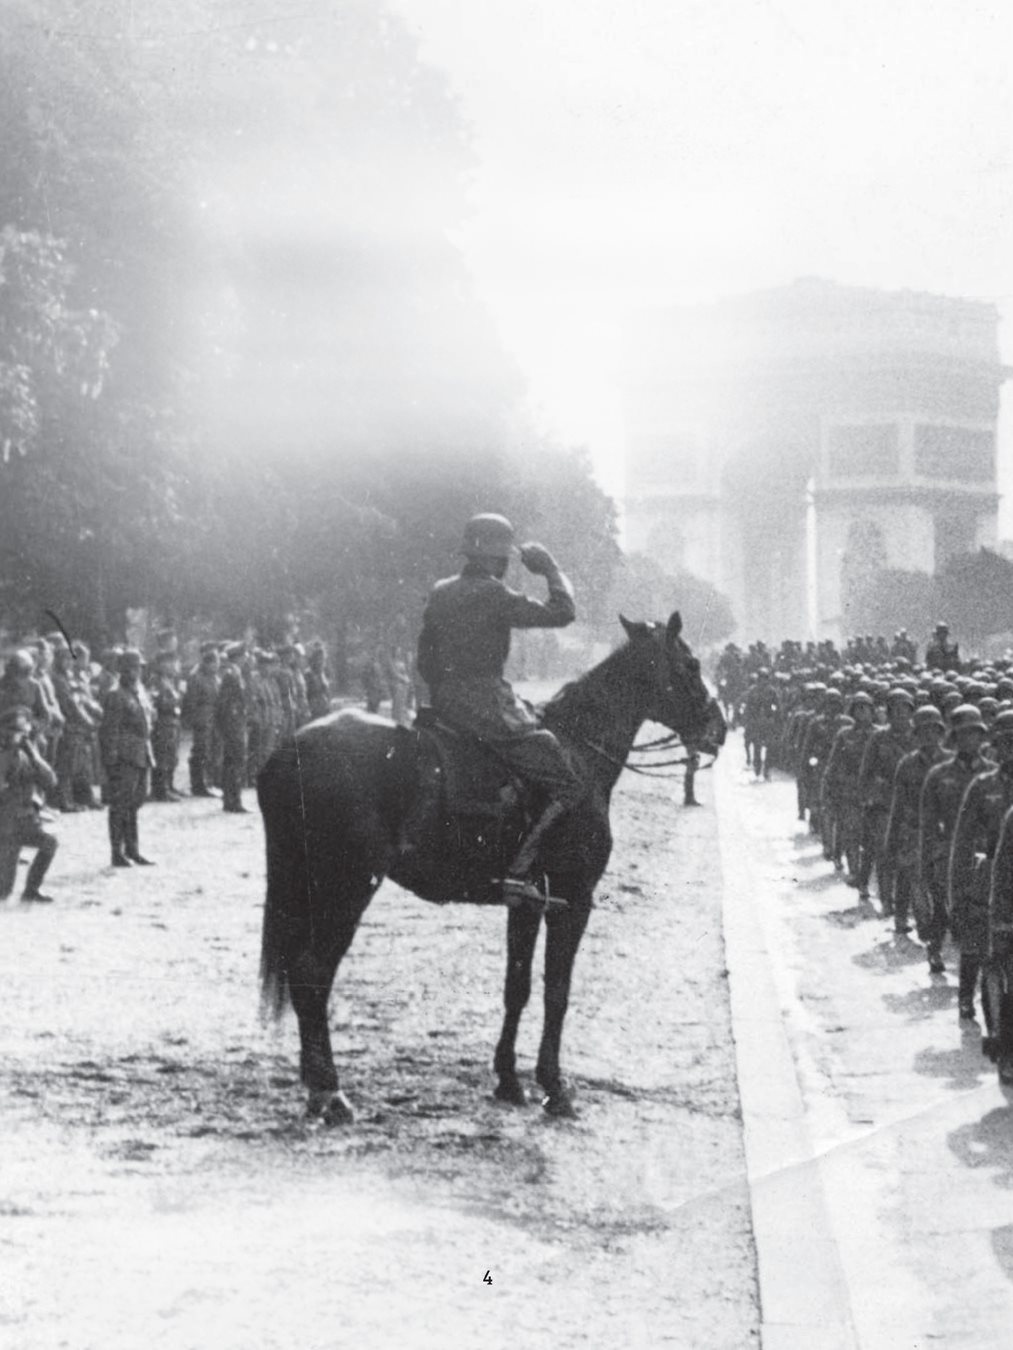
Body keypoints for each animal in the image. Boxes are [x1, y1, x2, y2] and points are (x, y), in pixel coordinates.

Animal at [257, 612, 723, 1117]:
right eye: (692, 664)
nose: (718, 728)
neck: (578, 752)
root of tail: (288, 748)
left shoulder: (529, 902)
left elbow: (517, 987)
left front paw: (508, 1079)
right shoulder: (573, 900)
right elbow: (557, 991)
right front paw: (553, 1086)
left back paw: (316, 1084)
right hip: (347, 889)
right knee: (313, 973)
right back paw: (331, 1091)